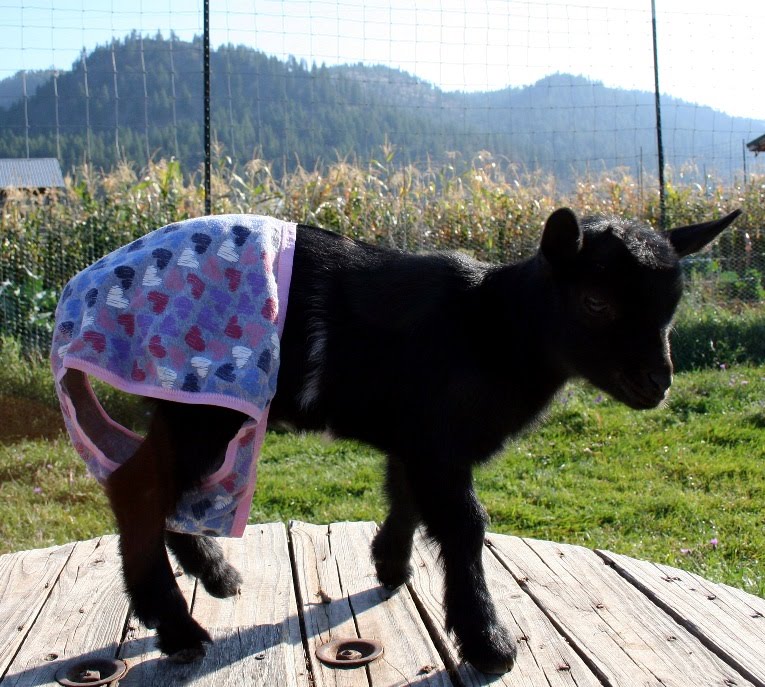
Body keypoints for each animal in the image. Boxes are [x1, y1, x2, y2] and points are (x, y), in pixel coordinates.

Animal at [51, 207, 741, 673]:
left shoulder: (419, 437)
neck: (494, 326)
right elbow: (465, 525)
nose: (657, 383)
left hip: (191, 406)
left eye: (672, 307)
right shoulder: (439, 438)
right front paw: (488, 642)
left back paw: (216, 575)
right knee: (137, 485)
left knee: (155, 484)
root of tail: (81, 289)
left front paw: (390, 565)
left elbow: (406, 496)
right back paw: (179, 629)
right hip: (203, 403)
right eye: (596, 302)